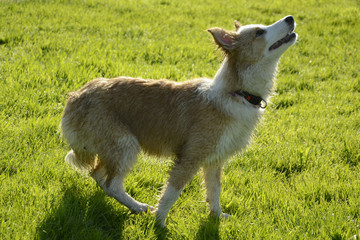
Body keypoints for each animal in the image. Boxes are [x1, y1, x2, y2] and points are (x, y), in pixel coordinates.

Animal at [61, 15, 298, 227]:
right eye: (259, 32)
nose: (290, 18)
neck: (238, 93)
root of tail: (75, 98)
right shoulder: (189, 157)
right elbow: (172, 192)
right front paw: (159, 222)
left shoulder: (215, 160)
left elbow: (214, 190)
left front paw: (217, 216)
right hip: (125, 144)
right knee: (112, 184)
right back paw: (139, 207)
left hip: (112, 148)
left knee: (99, 176)